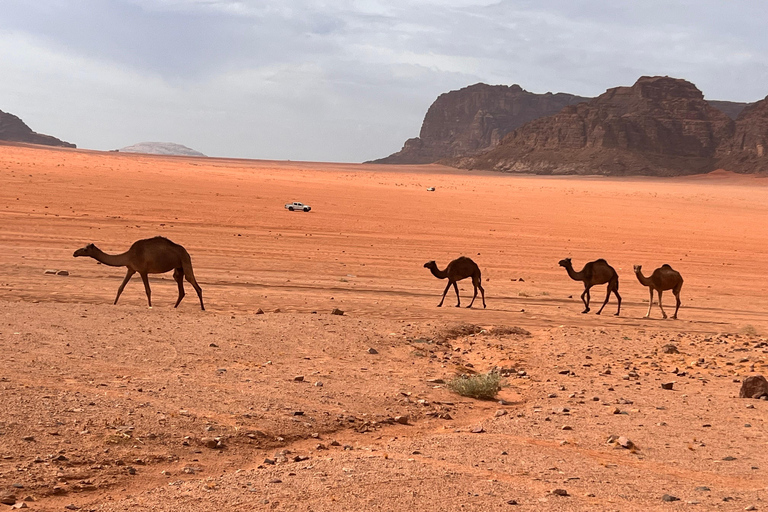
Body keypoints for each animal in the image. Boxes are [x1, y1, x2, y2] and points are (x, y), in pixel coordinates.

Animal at [71, 235, 202, 308]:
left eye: (85, 249)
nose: (75, 253)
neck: (129, 255)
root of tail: (186, 252)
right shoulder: (131, 269)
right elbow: (120, 288)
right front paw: (114, 304)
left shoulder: (143, 270)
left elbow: (148, 290)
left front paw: (150, 306)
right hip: (178, 267)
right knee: (180, 287)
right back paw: (174, 307)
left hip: (185, 261)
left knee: (194, 283)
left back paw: (202, 308)